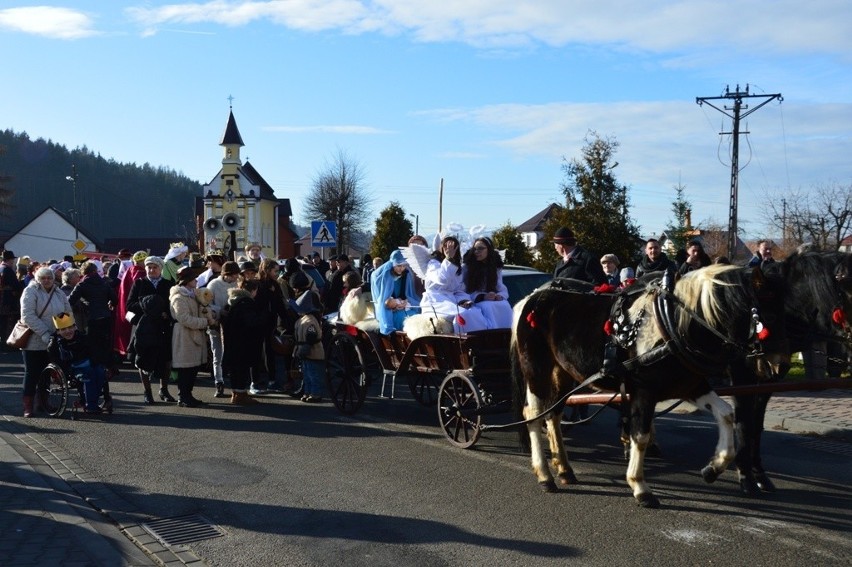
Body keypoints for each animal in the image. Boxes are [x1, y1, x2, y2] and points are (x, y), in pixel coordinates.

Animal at [510, 266, 788, 510]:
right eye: (771, 316)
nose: (776, 367)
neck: (675, 324)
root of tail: (530, 299)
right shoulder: (644, 392)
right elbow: (641, 436)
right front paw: (640, 487)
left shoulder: (690, 386)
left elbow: (726, 414)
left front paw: (714, 467)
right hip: (536, 369)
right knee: (534, 414)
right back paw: (545, 475)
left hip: (563, 373)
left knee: (553, 414)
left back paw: (565, 470)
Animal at [728, 251, 848, 494]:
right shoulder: (742, 376)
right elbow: (744, 423)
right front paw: (745, 475)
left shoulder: (769, 379)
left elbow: (756, 425)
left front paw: (759, 474)